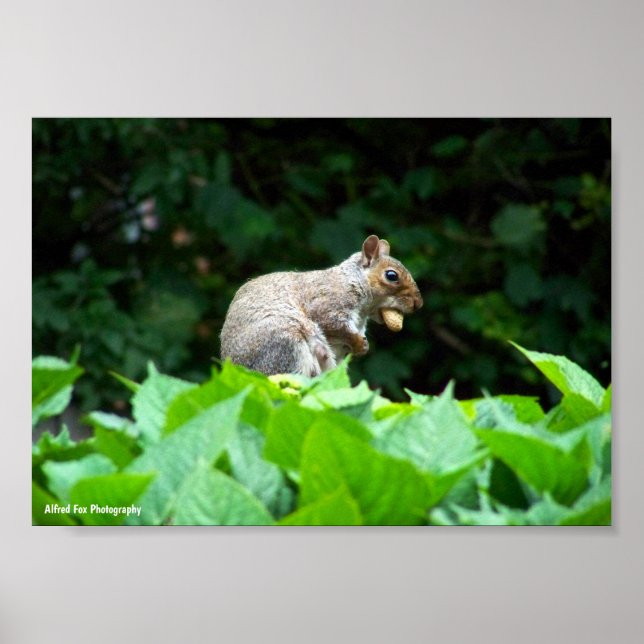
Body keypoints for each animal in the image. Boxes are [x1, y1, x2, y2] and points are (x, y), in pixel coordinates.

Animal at [220, 235, 423, 377]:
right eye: (391, 275)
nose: (418, 304)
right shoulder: (327, 304)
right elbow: (334, 325)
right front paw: (359, 342)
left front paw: (362, 347)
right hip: (285, 343)